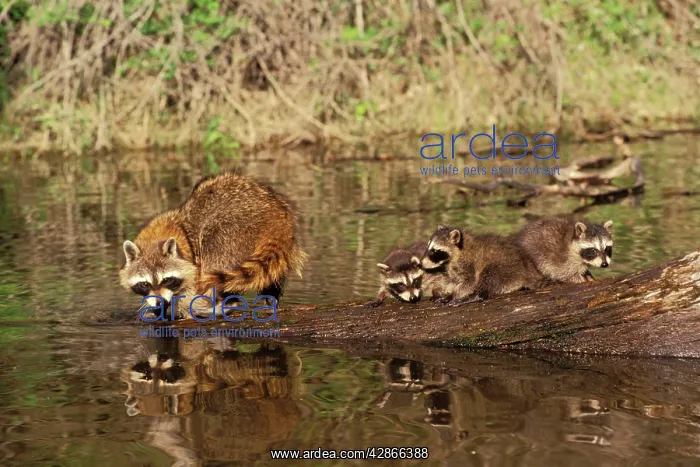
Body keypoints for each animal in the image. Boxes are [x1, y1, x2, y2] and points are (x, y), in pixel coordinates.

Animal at [119, 171, 307, 317]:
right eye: (144, 284)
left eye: (167, 280)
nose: (159, 303)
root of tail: (275, 218)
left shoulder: (191, 259)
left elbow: (191, 287)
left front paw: (182, 308)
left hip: (231, 231)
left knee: (214, 260)